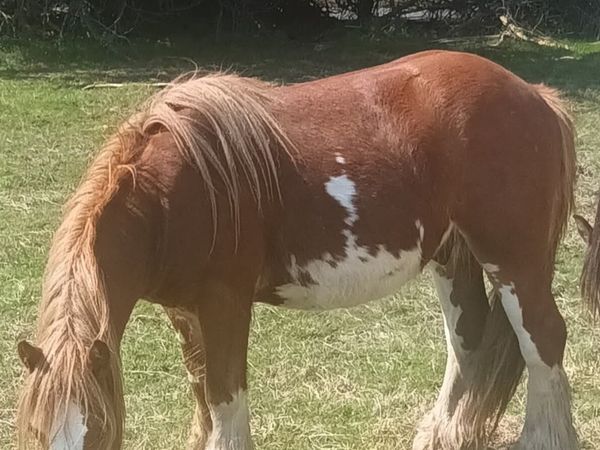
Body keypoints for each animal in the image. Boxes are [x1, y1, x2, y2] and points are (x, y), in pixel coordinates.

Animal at [16, 50, 581, 450]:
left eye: (96, 435)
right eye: (40, 436)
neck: (169, 194)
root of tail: (534, 95)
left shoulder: (225, 304)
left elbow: (224, 396)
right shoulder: (185, 312)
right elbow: (202, 393)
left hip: (513, 259)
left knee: (543, 339)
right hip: (453, 255)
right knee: (467, 341)